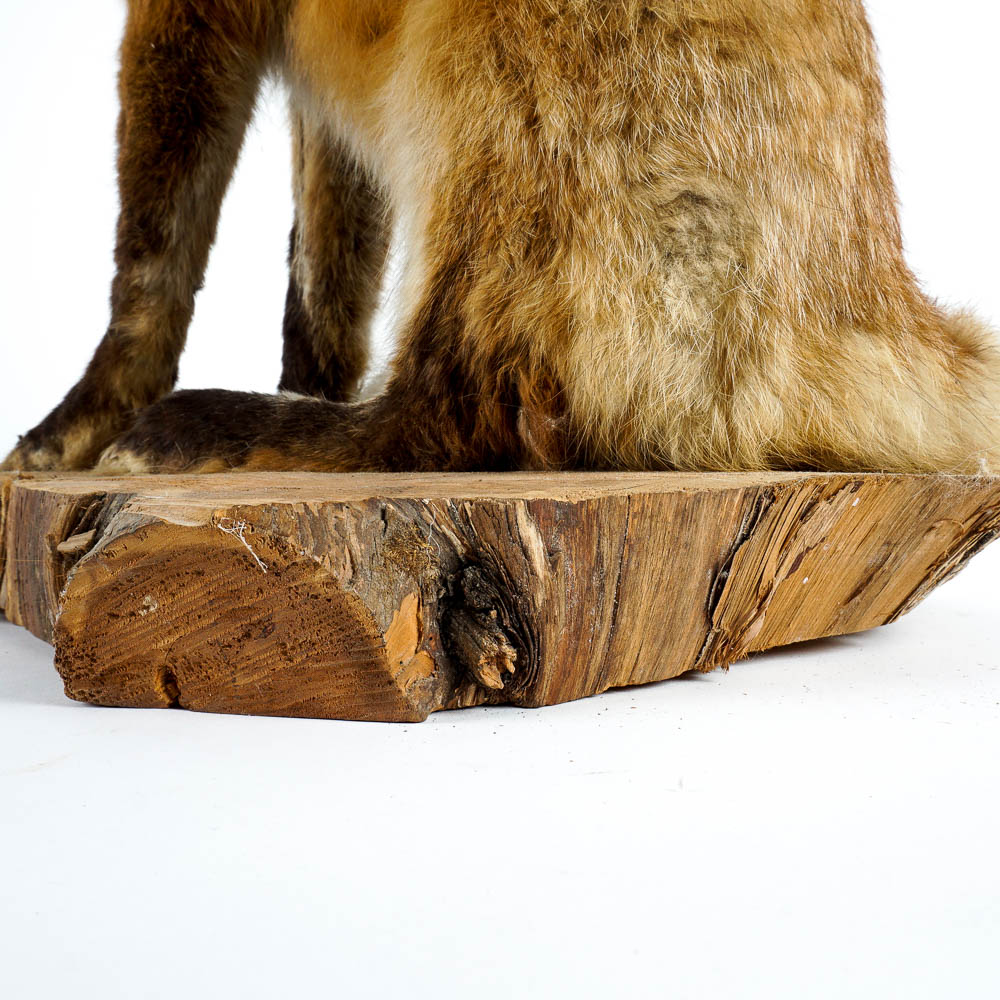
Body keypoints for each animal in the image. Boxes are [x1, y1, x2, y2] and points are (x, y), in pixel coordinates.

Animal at [3, 0, 999, 477]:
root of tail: (876, 293)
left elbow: (148, 263)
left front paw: (78, 422)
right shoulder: (332, 106)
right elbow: (322, 287)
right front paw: (300, 381)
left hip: (475, 74)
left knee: (450, 417)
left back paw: (210, 430)